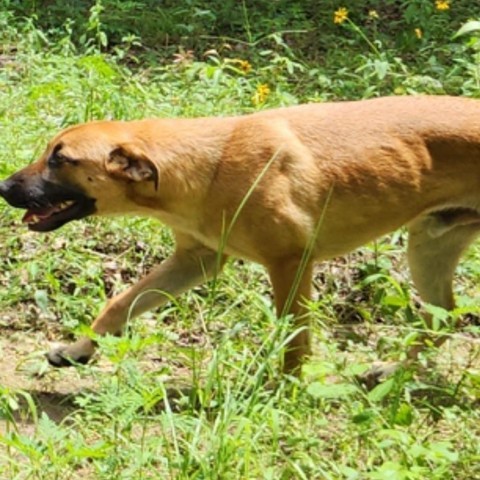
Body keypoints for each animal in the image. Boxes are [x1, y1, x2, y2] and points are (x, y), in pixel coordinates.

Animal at [0, 95, 480, 376]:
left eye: (60, 159)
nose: (4, 187)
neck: (206, 164)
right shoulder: (196, 260)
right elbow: (120, 304)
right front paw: (79, 349)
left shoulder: (290, 262)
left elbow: (294, 337)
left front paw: (284, 390)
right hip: (429, 243)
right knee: (444, 315)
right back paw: (390, 373)